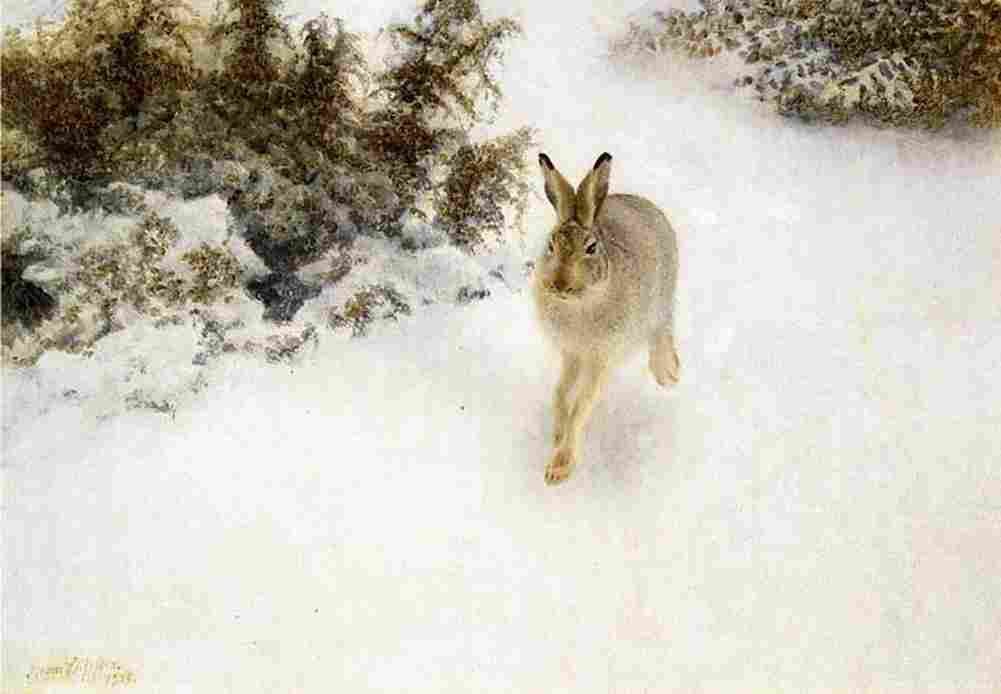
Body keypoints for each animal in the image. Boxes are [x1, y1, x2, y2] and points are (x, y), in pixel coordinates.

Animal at [533, 151, 680, 485]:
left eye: (591, 248)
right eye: (550, 245)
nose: (559, 284)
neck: (580, 303)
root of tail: (647, 205)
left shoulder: (601, 358)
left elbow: (581, 405)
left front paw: (558, 469)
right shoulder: (572, 353)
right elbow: (561, 394)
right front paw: (557, 434)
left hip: (661, 300)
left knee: (661, 330)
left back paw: (669, 374)